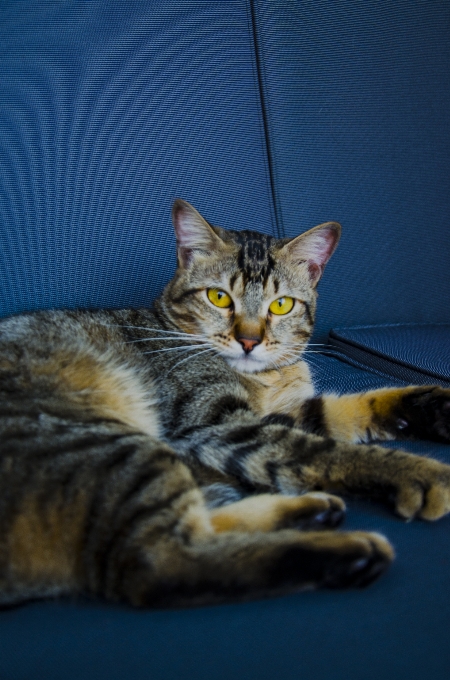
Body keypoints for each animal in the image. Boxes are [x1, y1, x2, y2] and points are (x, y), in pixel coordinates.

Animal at [0, 199, 450, 608]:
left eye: (281, 304)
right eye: (218, 297)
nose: (249, 340)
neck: (265, 377)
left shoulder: (280, 413)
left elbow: (346, 411)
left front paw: (433, 408)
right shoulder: (217, 424)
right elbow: (324, 451)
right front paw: (419, 472)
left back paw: (308, 511)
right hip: (111, 445)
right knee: (160, 563)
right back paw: (347, 551)